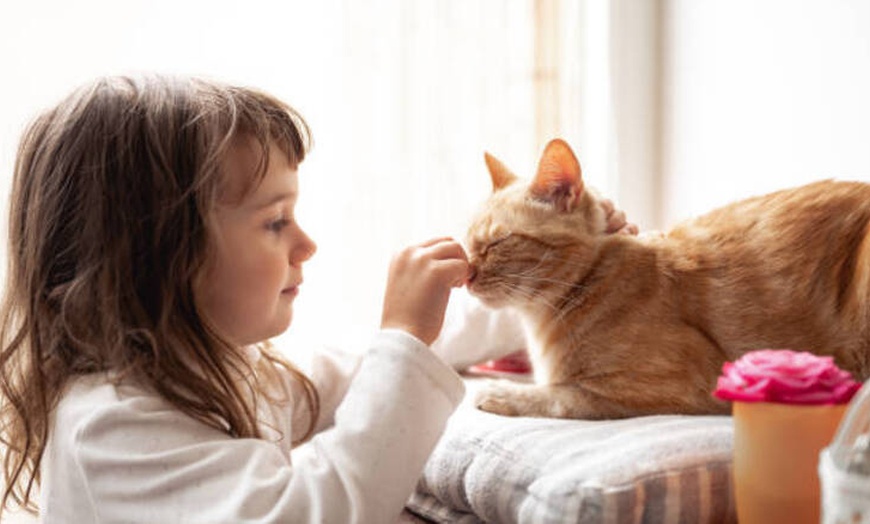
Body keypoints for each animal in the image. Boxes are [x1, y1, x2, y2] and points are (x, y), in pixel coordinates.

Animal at [466, 138, 870, 418]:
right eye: (468, 243)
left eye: (497, 242)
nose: (467, 275)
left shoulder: (681, 386)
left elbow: (563, 395)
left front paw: (498, 392)